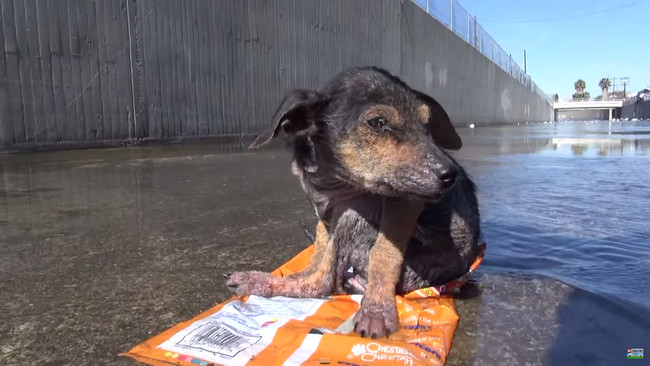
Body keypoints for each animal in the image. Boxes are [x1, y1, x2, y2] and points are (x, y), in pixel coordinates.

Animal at [225, 67, 478, 338]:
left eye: (426, 124)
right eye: (377, 123)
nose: (450, 174)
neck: (334, 178)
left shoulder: (405, 199)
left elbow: (383, 253)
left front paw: (377, 309)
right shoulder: (325, 215)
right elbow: (320, 249)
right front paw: (302, 269)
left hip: (363, 215)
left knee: (323, 283)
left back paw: (263, 282)